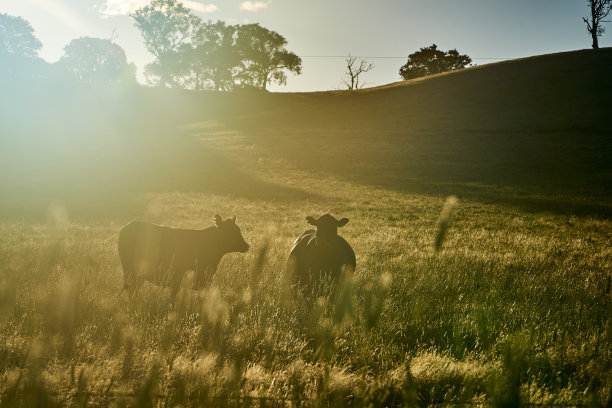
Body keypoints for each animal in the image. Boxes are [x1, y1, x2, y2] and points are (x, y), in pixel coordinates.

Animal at [119, 214, 249, 296]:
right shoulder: (179, 277)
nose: (247, 246)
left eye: (238, 230)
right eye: (229, 231)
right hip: (131, 271)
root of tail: (126, 227)